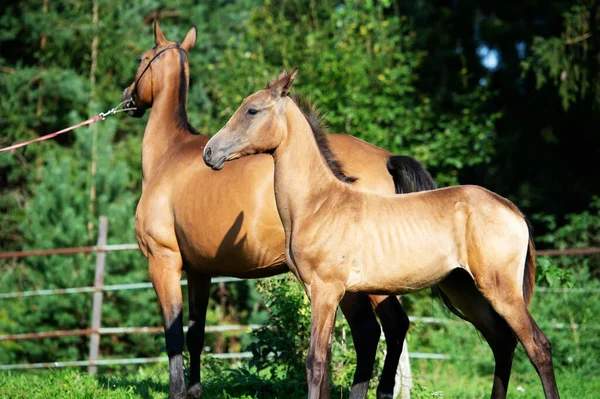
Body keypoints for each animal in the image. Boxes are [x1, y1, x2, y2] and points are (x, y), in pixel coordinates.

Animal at [120, 21, 436, 399]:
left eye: (141, 59)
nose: (127, 97)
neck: (169, 154)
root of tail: (386, 159)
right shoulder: (200, 270)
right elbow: (196, 335)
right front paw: (195, 391)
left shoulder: (163, 261)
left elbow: (172, 334)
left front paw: (178, 392)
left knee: (381, 330)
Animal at [204, 69, 560, 399]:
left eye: (251, 110)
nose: (210, 153)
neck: (318, 204)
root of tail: (512, 209)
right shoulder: (328, 292)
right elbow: (332, 357)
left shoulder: (326, 290)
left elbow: (316, 361)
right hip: (465, 289)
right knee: (501, 342)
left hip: (500, 290)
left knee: (538, 345)